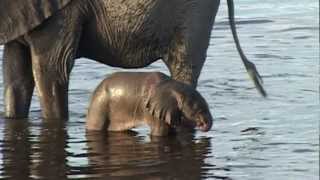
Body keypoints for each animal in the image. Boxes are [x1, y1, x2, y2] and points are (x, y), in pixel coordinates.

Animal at [86, 71, 214, 136]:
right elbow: (159, 134)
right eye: (197, 109)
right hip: (99, 107)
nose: (202, 124)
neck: (172, 85)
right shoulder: (152, 111)